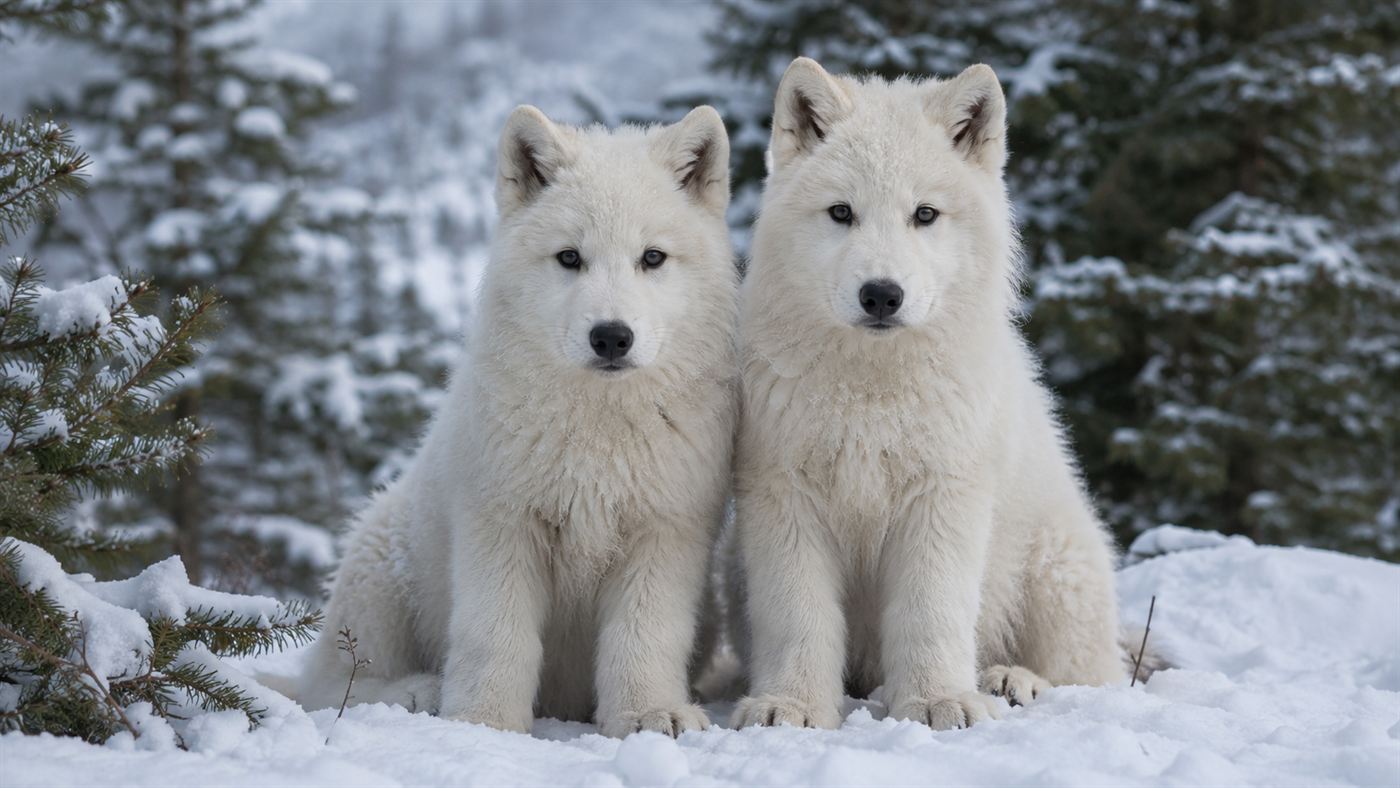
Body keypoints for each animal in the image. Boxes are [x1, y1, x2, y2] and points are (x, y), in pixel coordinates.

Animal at [289, 104, 739, 738]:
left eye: (652, 257)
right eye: (570, 257)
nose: (611, 337)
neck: (599, 434)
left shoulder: (664, 534)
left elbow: (643, 637)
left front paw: (648, 714)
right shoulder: (503, 526)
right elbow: (496, 637)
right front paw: (484, 723)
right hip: (380, 567)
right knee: (332, 685)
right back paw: (419, 692)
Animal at [730, 57, 1126, 731]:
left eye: (924, 214)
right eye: (842, 213)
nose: (881, 295)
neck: (872, 393)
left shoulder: (941, 499)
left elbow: (930, 610)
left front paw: (939, 702)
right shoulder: (786, 501)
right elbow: (797, 616)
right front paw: (792, 705)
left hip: (1054, 572)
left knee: (1092, 678)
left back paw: (1010, 680)